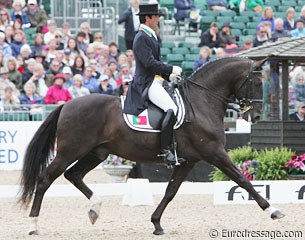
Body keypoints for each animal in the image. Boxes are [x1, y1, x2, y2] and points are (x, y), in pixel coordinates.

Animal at [17, 56, 282, 234]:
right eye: (256, 83)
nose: (255, 116)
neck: (202, 101)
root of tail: (66, 105)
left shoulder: (190, 160)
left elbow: (170, 191)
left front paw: (156, 224)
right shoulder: (215, 154)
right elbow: (243, 180)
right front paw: (273, 211)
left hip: (96, 153)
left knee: (73, 175)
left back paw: (95, 209)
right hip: (70, 150)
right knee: (45, 179)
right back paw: (33, 225)